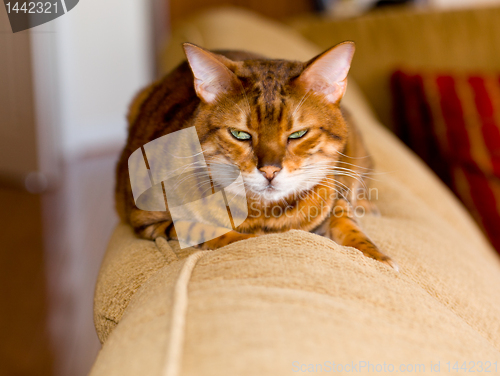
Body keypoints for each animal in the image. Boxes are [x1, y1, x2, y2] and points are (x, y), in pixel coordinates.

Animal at [114, 41, 398, 270]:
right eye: (240, 134)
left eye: (298, 134)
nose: (269, 171)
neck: (268, 213)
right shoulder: (148, 219)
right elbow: (204, 228)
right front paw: (249, 238)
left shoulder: (332, 194)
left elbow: (345, 221)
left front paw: (376, 255)